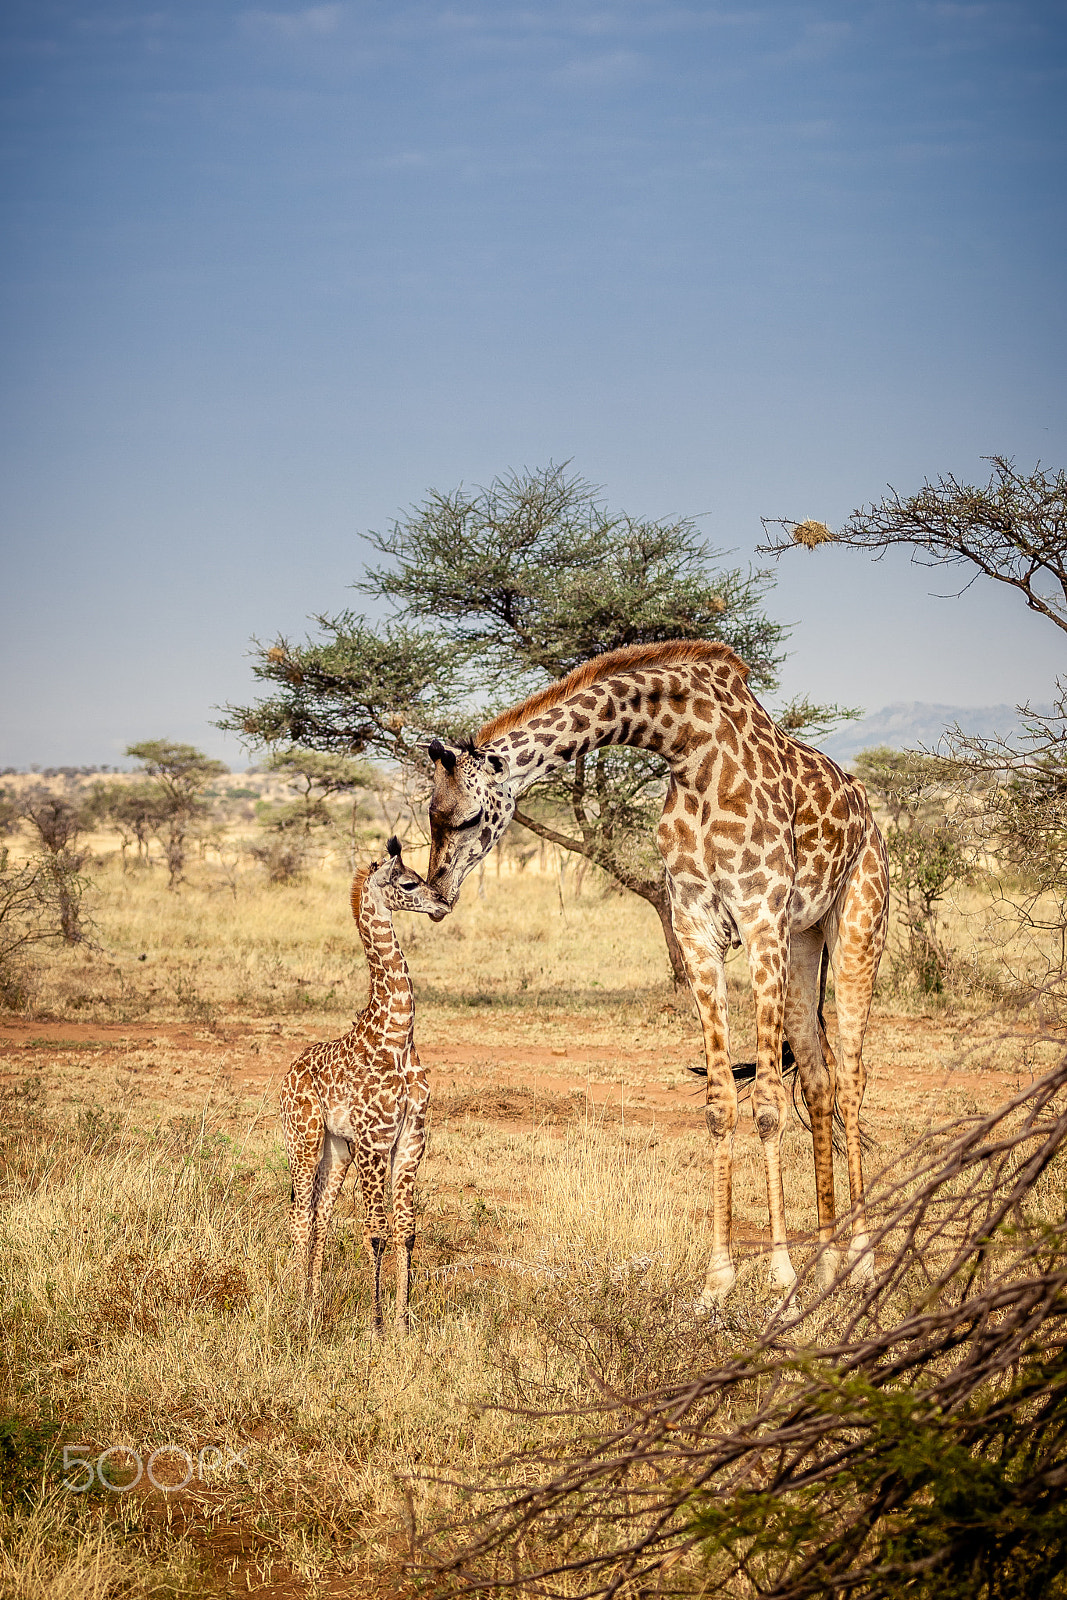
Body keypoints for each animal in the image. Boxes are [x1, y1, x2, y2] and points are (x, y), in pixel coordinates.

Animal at [280, 837, 446, 1334]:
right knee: (298, 1214)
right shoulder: (376, 1141)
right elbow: (376, 1232)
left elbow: (407, 1231)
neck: (398, 1037)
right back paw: (293, 1302)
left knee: (321, 1215)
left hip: (337, 1150)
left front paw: (404, 1322)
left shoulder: (411, 1139)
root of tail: (288, 1070)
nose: (442, 903)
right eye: (408, 883)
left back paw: (313, 1302)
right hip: (304, 1140)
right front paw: (376, 1323)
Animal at [424, 640, 889, 1302]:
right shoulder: (696, 929)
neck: (690, 750)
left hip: (856, 926)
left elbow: (767, 1106)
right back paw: (828, 1262)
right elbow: (720, 1102)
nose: (436, 893)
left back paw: (863, 1260)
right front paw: (718, 1280)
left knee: (851, 1077)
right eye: (430, 814)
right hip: (805, 940)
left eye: (463, 818)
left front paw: (779, 1275)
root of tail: (868, 814)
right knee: (819, 1079)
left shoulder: (761, 919)